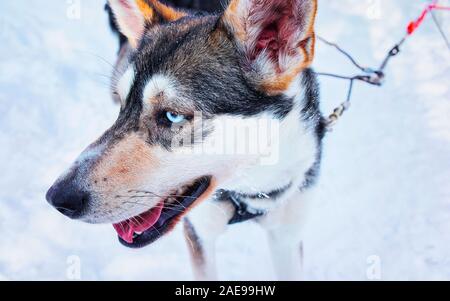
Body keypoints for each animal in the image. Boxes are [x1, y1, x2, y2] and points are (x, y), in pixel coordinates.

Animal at [46, 0, 324, 278]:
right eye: (125, 104)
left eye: (173, 115)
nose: (57, 198)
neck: (251, 191)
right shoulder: (199, 233)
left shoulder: (287, 235)